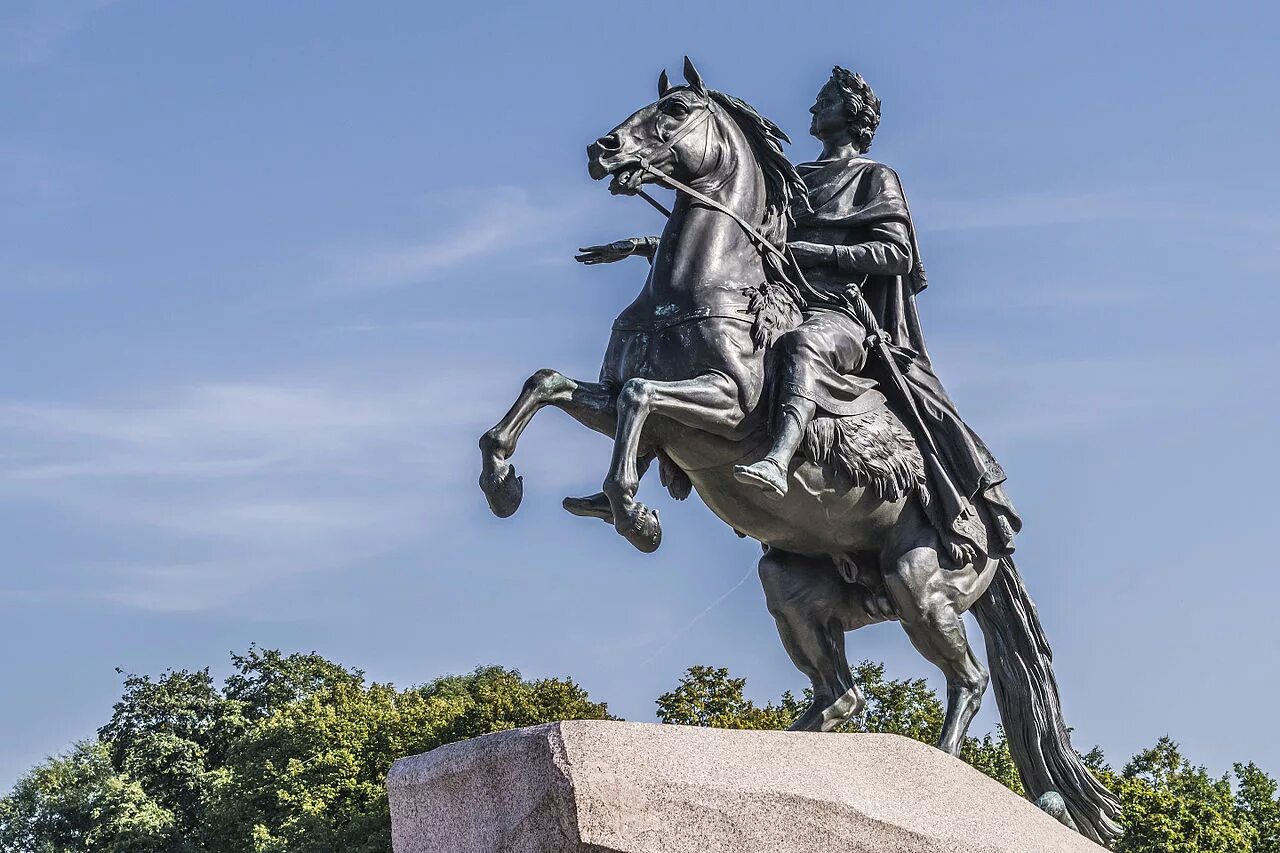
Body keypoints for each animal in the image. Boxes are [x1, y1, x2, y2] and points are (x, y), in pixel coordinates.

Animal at [478, 61, 1121, 845]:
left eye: (676, 110)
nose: (604, 151)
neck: (695, 289)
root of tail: (997, 536)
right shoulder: (618, 405)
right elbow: (549, 383)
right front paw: (506, 483)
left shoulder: (723, 408)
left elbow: (640, 396)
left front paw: (635, 515)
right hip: (791, 582)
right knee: (842, 695)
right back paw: (786, 749)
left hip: (920, 584)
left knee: (966, 680)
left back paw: (940, 771)